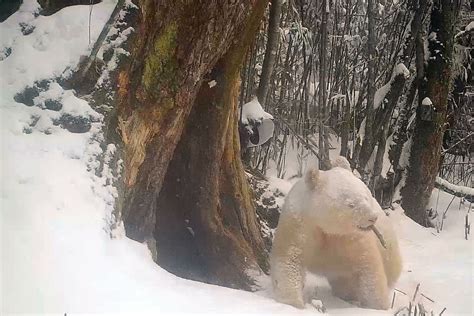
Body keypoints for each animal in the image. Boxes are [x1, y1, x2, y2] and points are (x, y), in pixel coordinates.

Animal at [272, 157, 402, 310]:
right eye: (351, 204)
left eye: (366, 196)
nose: (372, 218)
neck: (325, 226)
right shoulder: (299, 226)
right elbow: (289, 260)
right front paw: (294, 303)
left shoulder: (351, 238)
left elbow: (369, 267)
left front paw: (379, 306)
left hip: (390, 254)